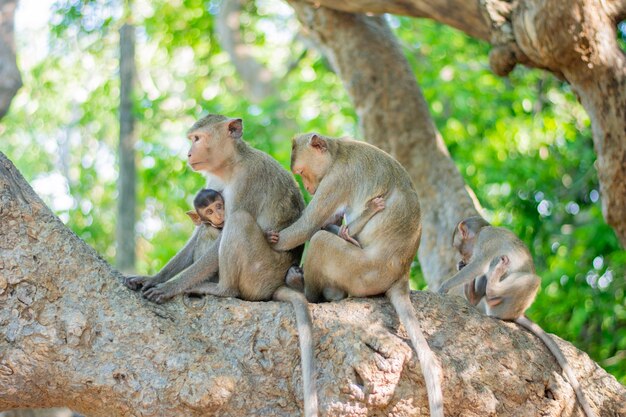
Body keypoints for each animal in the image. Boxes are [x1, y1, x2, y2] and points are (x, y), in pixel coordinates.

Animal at [132, 114, 316, 416]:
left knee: (238, 221)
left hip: (259, 271)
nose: (189, 153)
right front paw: (153, 278)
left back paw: (221, 289)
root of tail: (275, 283)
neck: (232, 164)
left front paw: (170, 287)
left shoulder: (247, 181)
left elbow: (224, 229)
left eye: (197, 139)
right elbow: (201, 229)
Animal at [266, 132, 442, 416]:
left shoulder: (337, 179)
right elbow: (329, 223)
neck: (338, 150)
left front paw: (275, 240)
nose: (310, 189)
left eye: (301, 172)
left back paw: (306, 290)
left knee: (320, 241)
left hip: (362, 272)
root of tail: (402, 274)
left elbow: (307, 227)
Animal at [438, 214, 596, 416]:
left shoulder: (486, 240)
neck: (482, 231)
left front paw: (445, 286)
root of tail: (517, 313)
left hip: (510, 303)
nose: (462, 257)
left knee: (527, 279)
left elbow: (478, 265)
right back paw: (474, 296)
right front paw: (460, 268)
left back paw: (493, 286)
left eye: (457, 245)